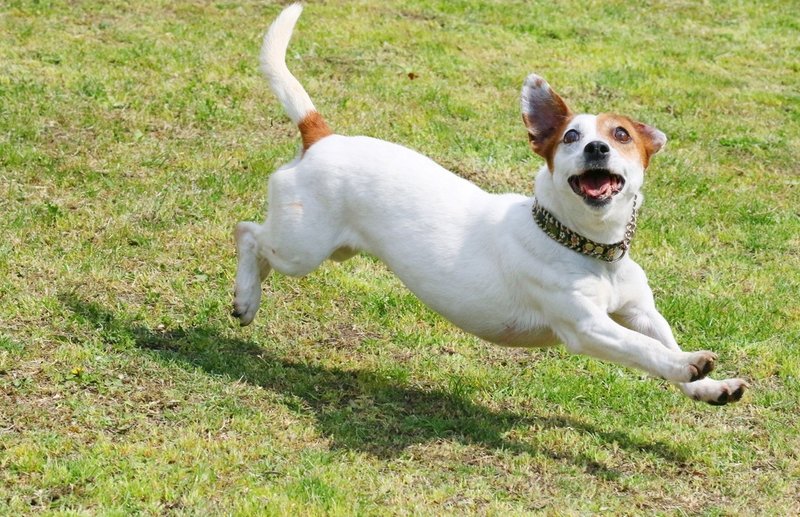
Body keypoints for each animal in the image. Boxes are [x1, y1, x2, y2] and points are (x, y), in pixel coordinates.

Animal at [230, 5, 744, 408]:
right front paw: (687, 364)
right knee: (248, 233)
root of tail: (322, 136)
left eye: (621, 134)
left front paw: (709, 386)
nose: (596, 147)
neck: (589, 246)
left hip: (325, 248)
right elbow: (644, 349)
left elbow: (659, 337)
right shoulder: (587, 327)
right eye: (570, 136)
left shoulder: (639, 311)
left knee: (262, 246)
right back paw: (246, 297)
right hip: (303, 247)